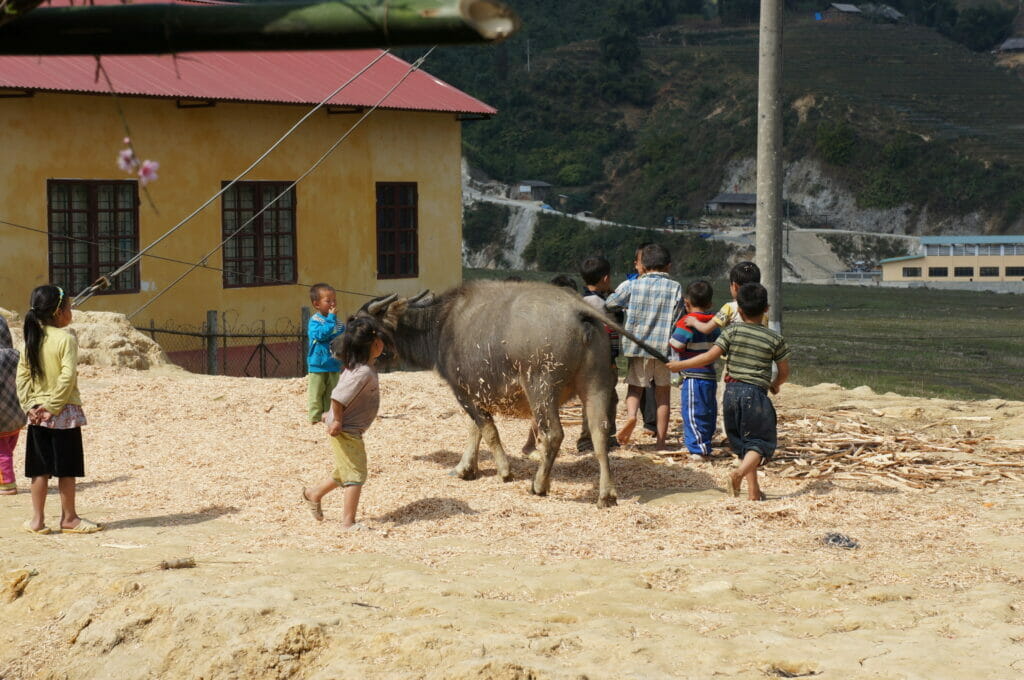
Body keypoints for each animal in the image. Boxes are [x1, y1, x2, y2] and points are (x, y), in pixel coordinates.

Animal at [350, 278, 671, 507]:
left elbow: (487, 431)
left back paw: (539, 485)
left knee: (553, 434)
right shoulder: (474, 394)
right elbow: (476, 431)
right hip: (597, 384)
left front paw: (503, 471)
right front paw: (465, 468)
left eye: (361, 325)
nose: (342, 351)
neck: (442, 325)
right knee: (600, 433)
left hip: (541, 387)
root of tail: (577, 308)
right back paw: (606, 494)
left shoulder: (464, 393)